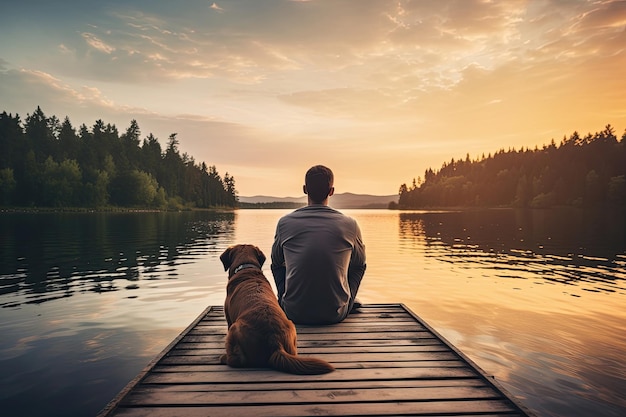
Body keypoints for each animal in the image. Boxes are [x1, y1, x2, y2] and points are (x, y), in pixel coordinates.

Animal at [221, 244, 336, 374]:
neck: (246, 268)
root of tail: (275, 341)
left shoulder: (229, 319)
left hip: (234, 328)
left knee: (236, 360)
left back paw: (224, 358)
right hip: (292, 330)